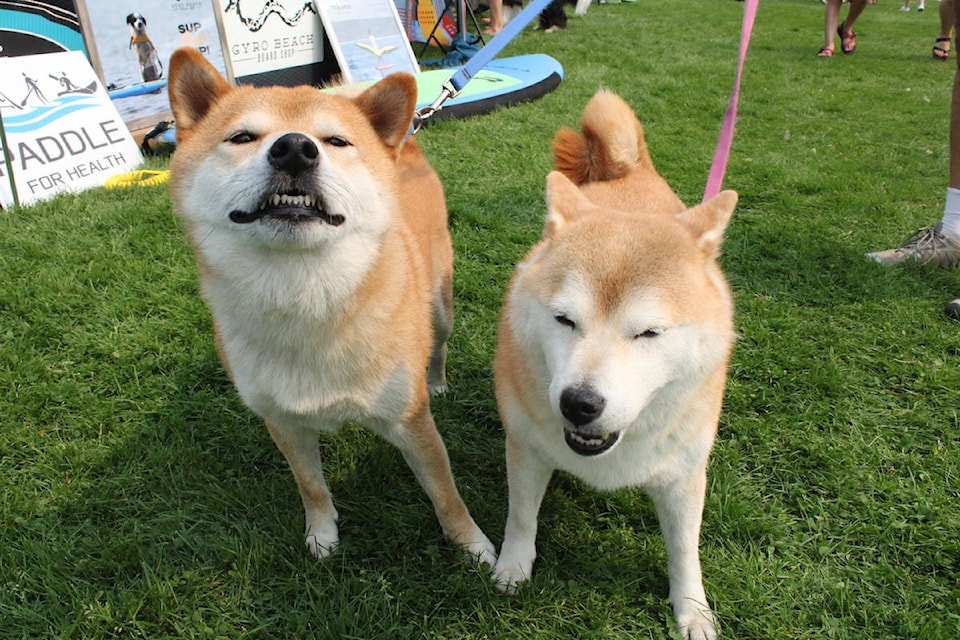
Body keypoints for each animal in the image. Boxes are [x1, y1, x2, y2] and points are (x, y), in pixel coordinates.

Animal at [167, 46, 496, 564]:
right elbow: (312, 487)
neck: (305, 299)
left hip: (441, 306)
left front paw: (475, 548)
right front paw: (322, 536)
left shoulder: (411, 422)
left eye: (337, 141)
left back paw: (438, 379)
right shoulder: (283, 421)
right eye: (242, 137)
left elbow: (446, 493)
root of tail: (408, 142)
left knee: (439, 342)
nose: (294, 148)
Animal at [496, 90, 736, 640]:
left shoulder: (684, 475)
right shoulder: (525, 447)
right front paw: (512, 567)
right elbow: (521, 517)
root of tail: (625, 171)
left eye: (648, 333)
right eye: (564, 320)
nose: (579, 404)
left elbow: (684, 550)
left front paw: (692, 609)